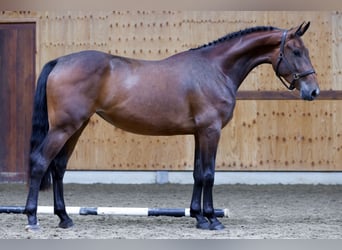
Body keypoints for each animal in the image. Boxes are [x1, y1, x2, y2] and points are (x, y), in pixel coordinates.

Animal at [25, 21, 320, 230]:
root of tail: (60, 61)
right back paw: (32, 218)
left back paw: (65, 218)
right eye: (296, 51)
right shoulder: (211, 131)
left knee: (58, 168)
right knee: (40, 162)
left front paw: (198, 217)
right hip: (64, 127)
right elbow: (209, 174)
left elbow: (198, 174)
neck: (215, 69)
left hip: (77, 127)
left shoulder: (200, 133)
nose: (313, 91)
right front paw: (213, 220)